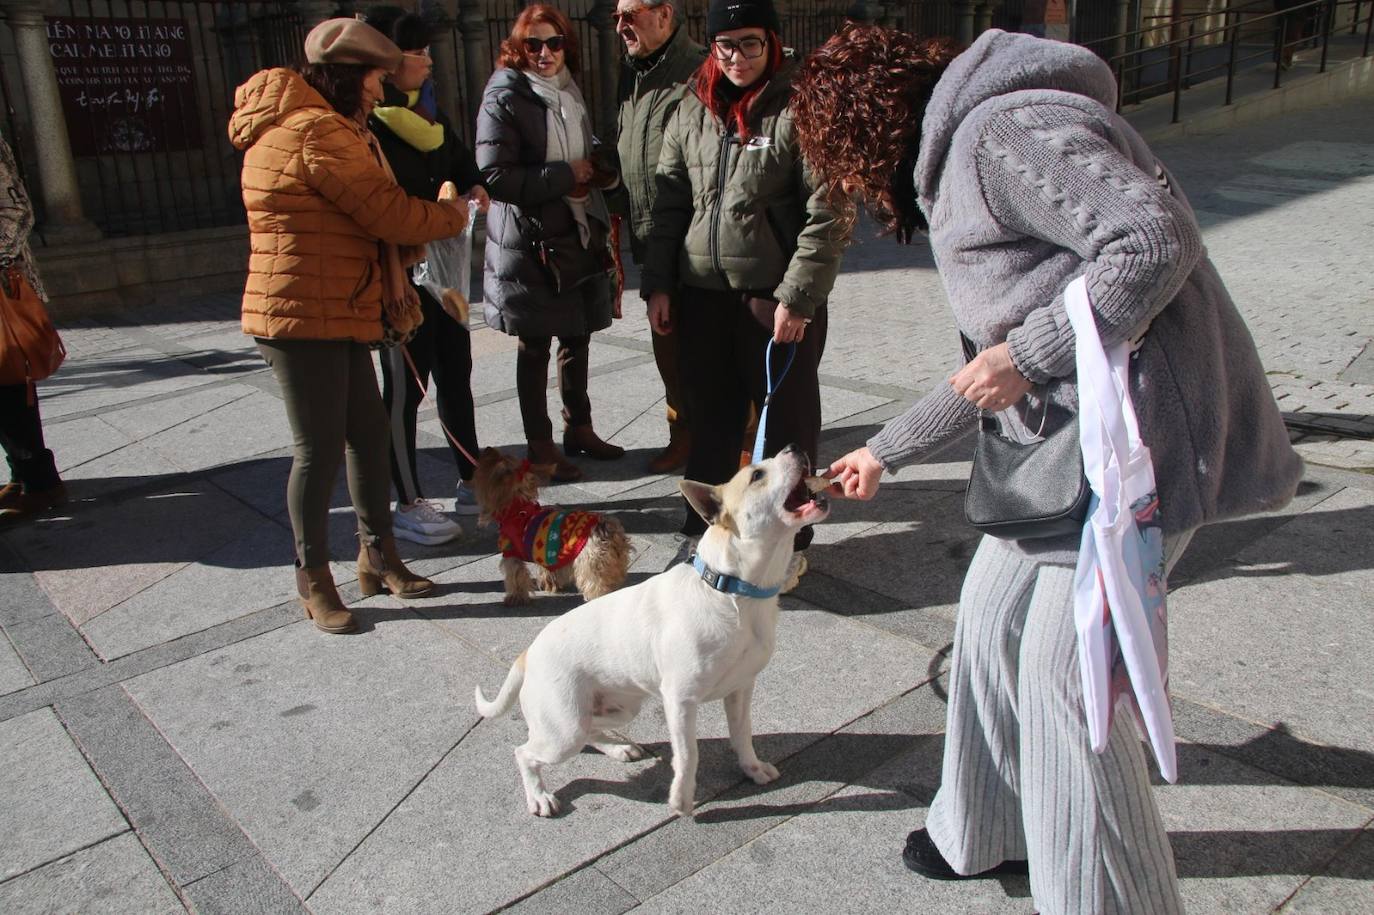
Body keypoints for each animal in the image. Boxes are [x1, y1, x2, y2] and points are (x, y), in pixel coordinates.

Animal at [467, 442, 629, 601]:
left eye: (490, 461)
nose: (487, 448)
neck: (518, 507)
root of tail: (605, 528)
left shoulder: (510, 551)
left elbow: (515, 574)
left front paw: (514, 598)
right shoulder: (548, 555)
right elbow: (550, 571)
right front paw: (550, 585)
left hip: (591, 565)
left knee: (597, 587)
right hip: (614, 563)